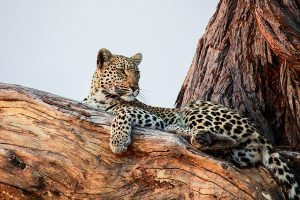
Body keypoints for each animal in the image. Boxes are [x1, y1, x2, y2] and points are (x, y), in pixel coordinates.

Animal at [82, 48, 300, 200]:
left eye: (138, 74)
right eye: (121, 71)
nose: (135, 88)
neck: (99, 96)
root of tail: (257, 131)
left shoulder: (152, 117)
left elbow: (123, 111)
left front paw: (118, 141)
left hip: (193, 107)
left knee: (218, 137)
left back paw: (181, 130)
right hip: (241, 152)